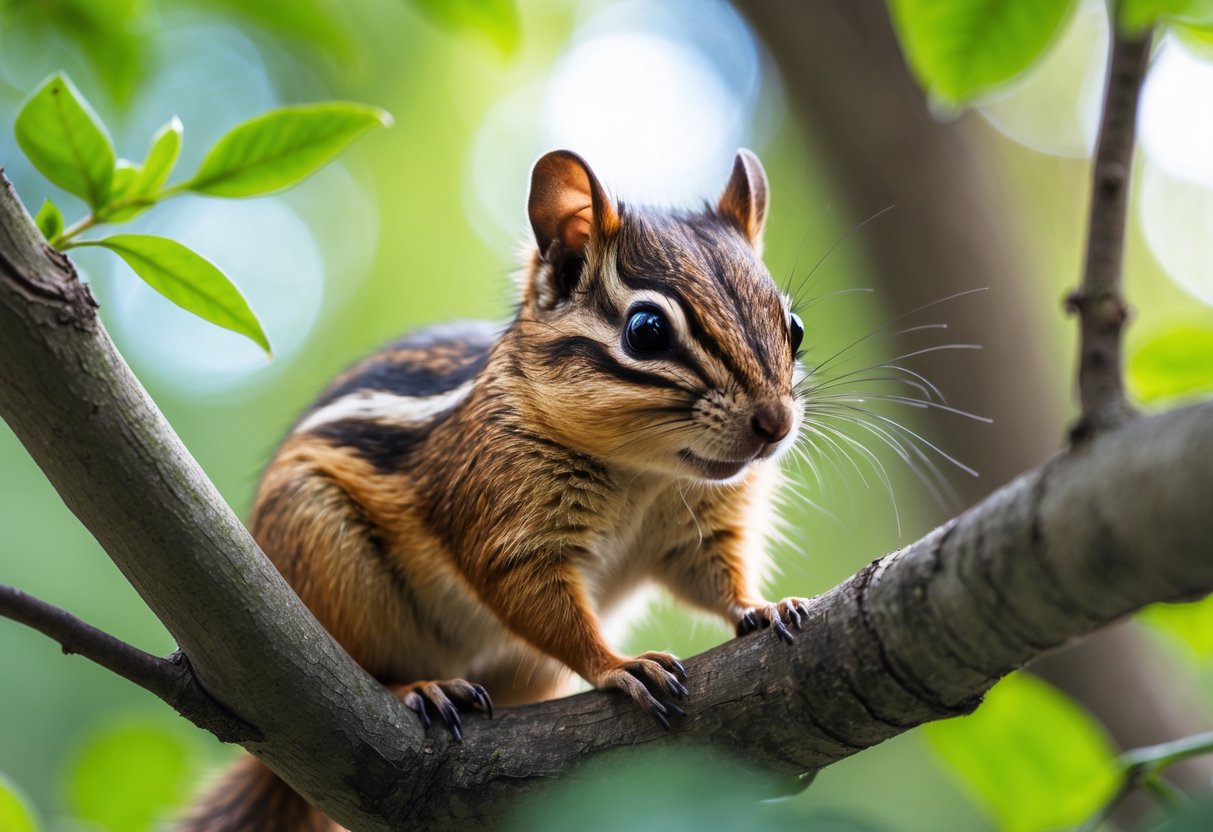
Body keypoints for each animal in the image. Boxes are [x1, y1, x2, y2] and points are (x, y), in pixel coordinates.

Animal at [179, 148, 809, 831]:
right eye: (646, 330)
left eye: (795, 327)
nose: (775, 422)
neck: (649, 474)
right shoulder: (501, 513)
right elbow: (534, 598)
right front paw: (618, 666)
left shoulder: (703, 528)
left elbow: (713, 575)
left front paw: (761, 606)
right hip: (322, 553)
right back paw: (418, 687)